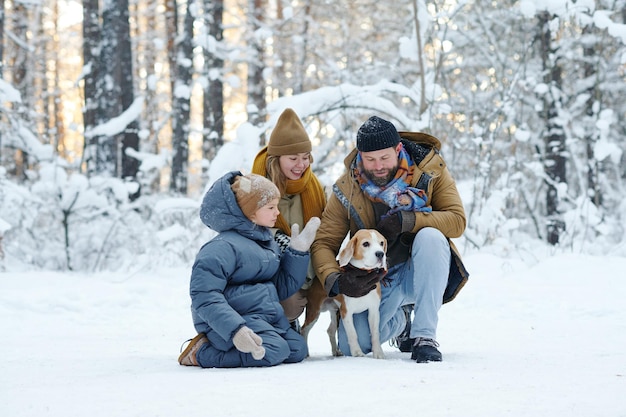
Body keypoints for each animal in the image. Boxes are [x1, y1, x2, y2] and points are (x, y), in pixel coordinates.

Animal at [302, 228, 386, 358]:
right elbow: (353, 334)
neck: (363, 273)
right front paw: (357, 352)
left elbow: (375, 333)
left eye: (381, 243)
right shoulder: (346, 312)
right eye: (366, 244)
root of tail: (316, 279)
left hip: (334, 311)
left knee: (330, 330)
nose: (380, 254)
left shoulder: (373, 310)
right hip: (314, 311)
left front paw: (378, 353)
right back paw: (305, 352)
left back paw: (336, 351)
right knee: (304, 329)